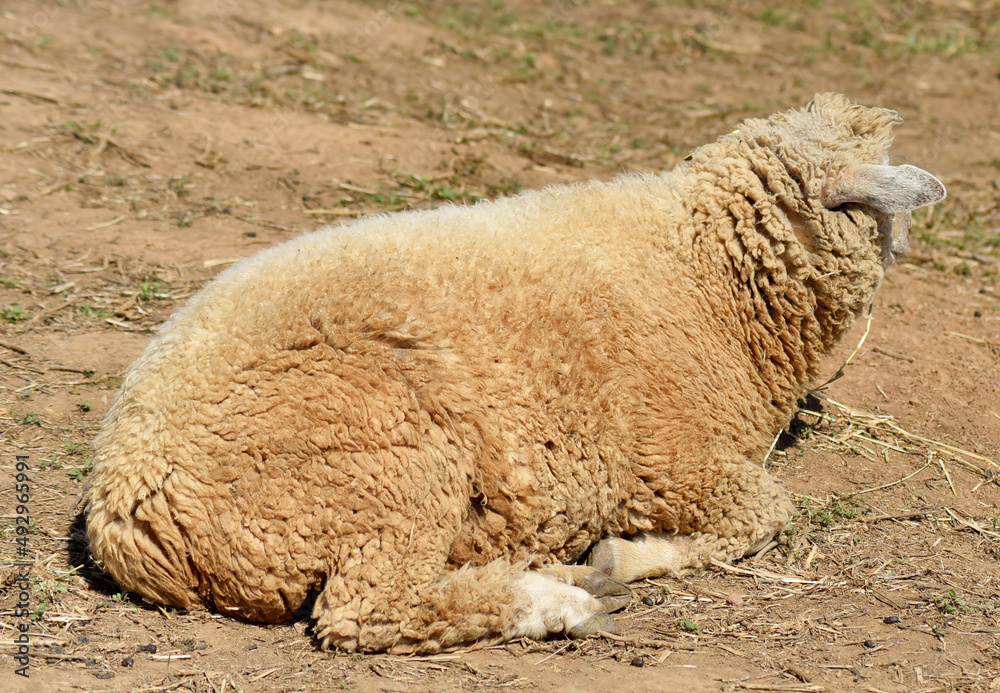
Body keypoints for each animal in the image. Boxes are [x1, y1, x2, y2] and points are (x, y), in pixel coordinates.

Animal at [85, 93, 945, 653]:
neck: (702, 270)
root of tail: (125, 512)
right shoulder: (674, 460)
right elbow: (767, 512)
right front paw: (622, 556)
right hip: (384, 467)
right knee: (370, 610)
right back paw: (560, 599)